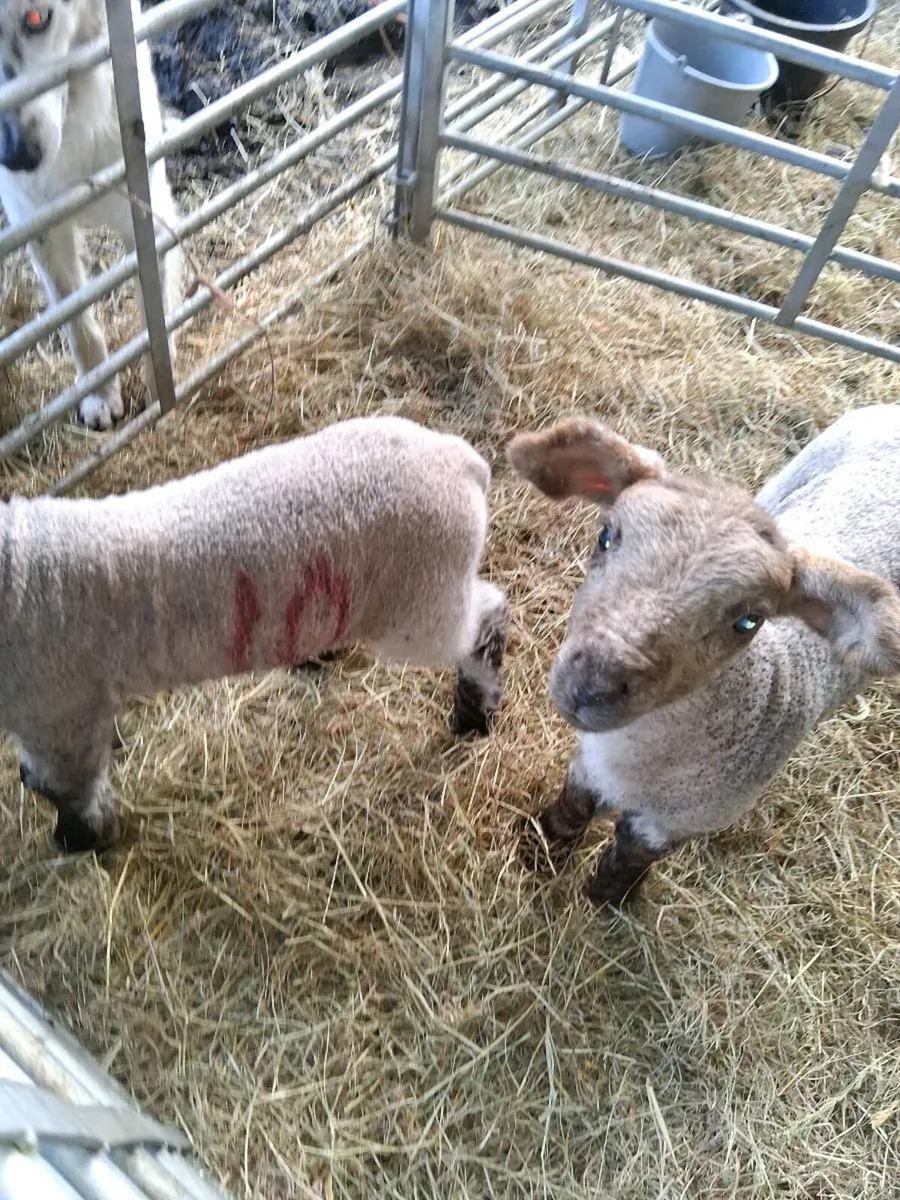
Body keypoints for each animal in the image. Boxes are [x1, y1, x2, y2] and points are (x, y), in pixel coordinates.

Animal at [3, 415, 507, 853]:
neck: (21, 572)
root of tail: (463, 462)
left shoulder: (58, 709)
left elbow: (58, 783)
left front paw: (81, 837)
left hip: (424, 602)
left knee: (487, 616)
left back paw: (474, 712)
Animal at [508, 404, 900, 906]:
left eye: (748, 621)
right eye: (605, 536)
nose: (591, 684)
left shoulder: (680, 821)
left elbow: (626, 860)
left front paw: (607, 902)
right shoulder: (588, 767)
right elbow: (570, 810)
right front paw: (538, 851)